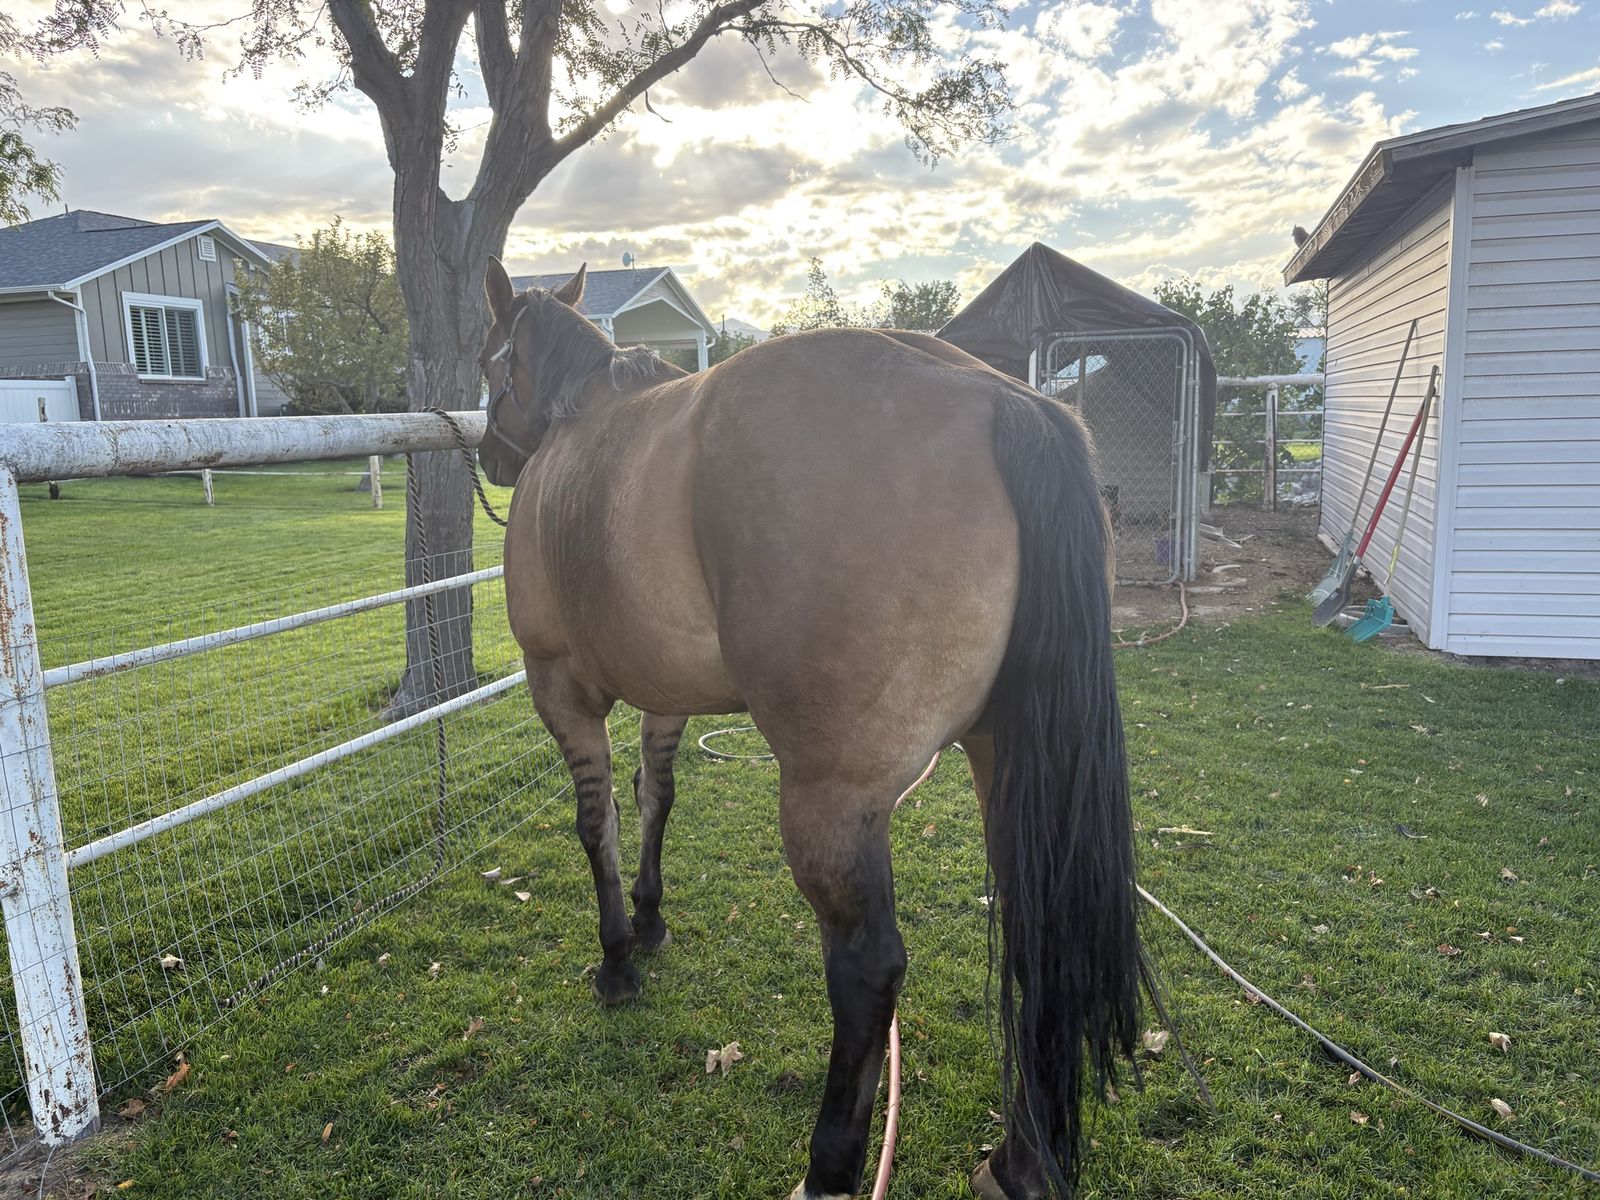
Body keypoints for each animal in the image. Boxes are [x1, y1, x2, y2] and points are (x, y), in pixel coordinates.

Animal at [476, 258, 1141, 1200]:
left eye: (490, 355)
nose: (492, 455)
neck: (582, 423)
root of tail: (998, 397)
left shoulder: (559, 684)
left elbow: (595, 823)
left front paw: (616, 960)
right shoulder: (663, 694)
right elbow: (655, 800)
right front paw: (649, 919)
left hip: (830, 798)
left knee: (868, 969)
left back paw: (828, 1169)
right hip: (1010, 760)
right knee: (1037, 920)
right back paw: (1021, 1160)